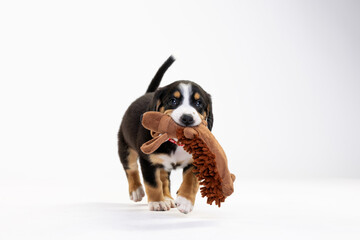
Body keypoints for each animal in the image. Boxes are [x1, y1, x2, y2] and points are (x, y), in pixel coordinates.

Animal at [118, 56, 214, 214]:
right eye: (173, 101)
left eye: (198, 103)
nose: (187, 118)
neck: (176, 141)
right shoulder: (148, 161)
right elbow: (152, 183)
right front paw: (157, 202)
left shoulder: (195, 160)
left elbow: (190, 181)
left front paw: (185, 201)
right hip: (125, 144)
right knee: (130, 167)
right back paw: (137, 191)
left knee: (164, 179)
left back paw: (168, 198)